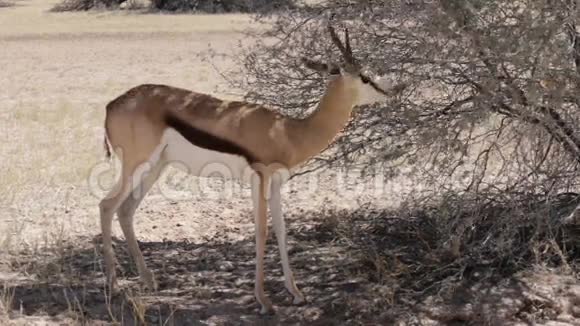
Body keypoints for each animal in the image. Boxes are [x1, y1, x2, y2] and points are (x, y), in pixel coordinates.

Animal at [99, 25, 406, 314]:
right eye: (364, 76)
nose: (393, 90)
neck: (290, 132)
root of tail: (111, 105)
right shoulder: (260, 177)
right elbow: (261, 232)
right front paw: (264, 301)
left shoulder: (277, 182)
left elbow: (281, 230)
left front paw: (296, 293)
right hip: (136, 165)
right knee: (107, 205)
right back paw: (114, 287)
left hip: (155, 168)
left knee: (125, 211)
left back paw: (148, 280)